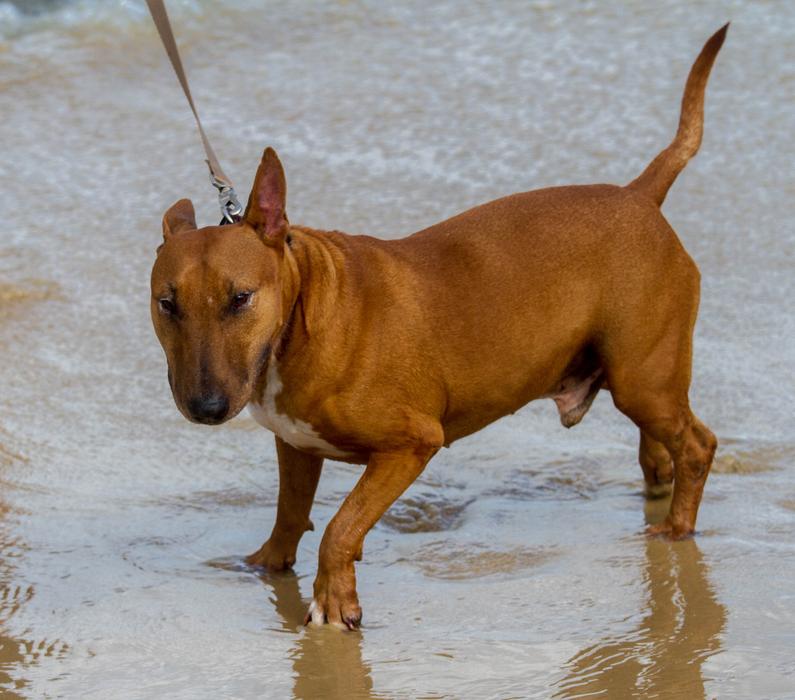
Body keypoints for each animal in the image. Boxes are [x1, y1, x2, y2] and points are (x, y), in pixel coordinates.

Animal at [152, 26, 732, 628]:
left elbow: (341, 525)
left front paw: (334, 601)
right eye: (166, 304)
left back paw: (678, 529)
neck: (305, 312)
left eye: (240, 298)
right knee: (662, 446)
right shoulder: (296, 445)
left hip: (644, 379)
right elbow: (291, 513)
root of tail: (639, 195)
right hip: (639, 377)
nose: (206, 409)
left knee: (698, 444)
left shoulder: (412, 444)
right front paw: (266, 566)